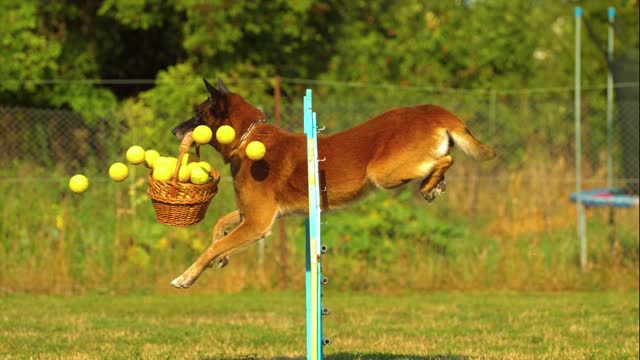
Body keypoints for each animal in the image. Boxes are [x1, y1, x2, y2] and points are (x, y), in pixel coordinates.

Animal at [169, 79, 496, 290]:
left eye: (198, 114)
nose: (173, 130)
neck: (247, 138)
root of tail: (433, 110)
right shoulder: (252, 215)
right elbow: (219, 230)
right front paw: (222, 258)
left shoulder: (258, 222)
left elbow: (212, 248)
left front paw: (186, 277)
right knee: (443, 160)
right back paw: (434, 185)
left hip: (383, 172)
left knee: (444, 160)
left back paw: (430, 186)